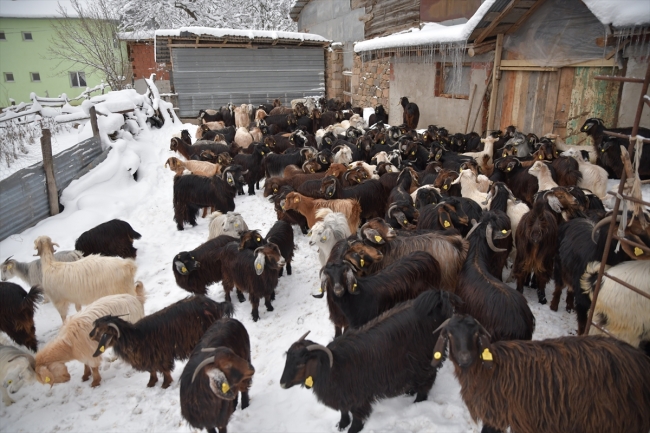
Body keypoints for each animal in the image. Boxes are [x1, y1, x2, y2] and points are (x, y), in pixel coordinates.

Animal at [88, 296, 233, 386]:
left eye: (100, 329)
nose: (90, 335)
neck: (134, 336)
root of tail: (215, 304)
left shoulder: (161, 355)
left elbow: (164, 369)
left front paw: (165, 384)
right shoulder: (148, 358)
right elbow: (152, 371)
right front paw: (151, 383)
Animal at [280, 288, 456, 433]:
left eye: (300, 363)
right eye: (287, 359)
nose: (282, 383)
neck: (332, 367)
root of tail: (438, 302)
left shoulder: (358, 396)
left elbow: (357, 416)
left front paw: (353, 429)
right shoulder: (342, 394)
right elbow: (344, 411)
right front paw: (341, 425)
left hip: (425, 359)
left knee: (428, 380)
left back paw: (418, 401)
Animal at [430, 312, 648, 432]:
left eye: (475, 333)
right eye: (449, 334)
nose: (465, 357)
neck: (489, 369)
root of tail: (640, 360)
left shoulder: (507, 416)